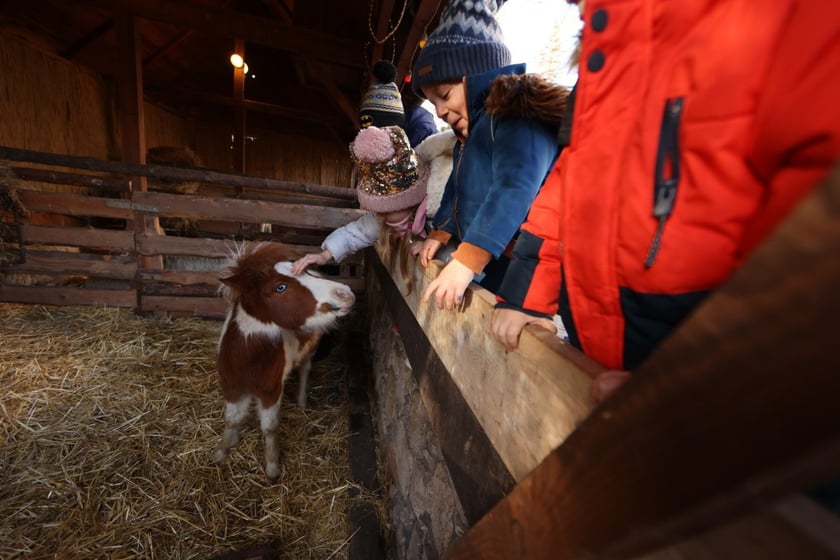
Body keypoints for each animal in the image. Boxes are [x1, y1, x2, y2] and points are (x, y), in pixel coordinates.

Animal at [213, 243, 354, 480]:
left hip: (310, 350)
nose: (345, 293)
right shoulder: (231, 386)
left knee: (305, 370)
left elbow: (269, 428)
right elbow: (231, 419)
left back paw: (302, 402)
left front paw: (272, 467)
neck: (248, 360)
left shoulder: (270, 392)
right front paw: (222, 450)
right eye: (280, 287)